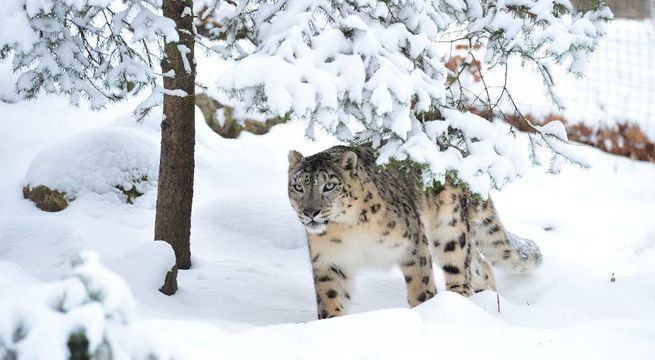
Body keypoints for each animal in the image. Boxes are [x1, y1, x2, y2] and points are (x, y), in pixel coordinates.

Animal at [288, 145, 544, 320]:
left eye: (329, 185)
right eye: (298, 186)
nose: (310, 212)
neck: (347, 228)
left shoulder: (413, 243)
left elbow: (420, 284)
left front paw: (425, 311)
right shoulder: (329, 261)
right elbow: (330, 296)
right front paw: (331, 323)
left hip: (451, 230)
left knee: (460, 268)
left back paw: (457, 302)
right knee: (483, 266)